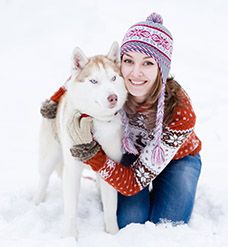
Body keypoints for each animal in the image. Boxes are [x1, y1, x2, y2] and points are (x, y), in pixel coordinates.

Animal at [33, 43, 127, 239]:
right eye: (94, 81)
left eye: (113, 78)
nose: (113, 97)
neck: (96, 121)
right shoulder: (72, 170)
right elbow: (70, 210)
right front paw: (70, 237)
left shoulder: (110, 167)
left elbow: (111, 208)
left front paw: (113, 235)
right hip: (49, 157)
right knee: (43, 179)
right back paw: (36, 203)